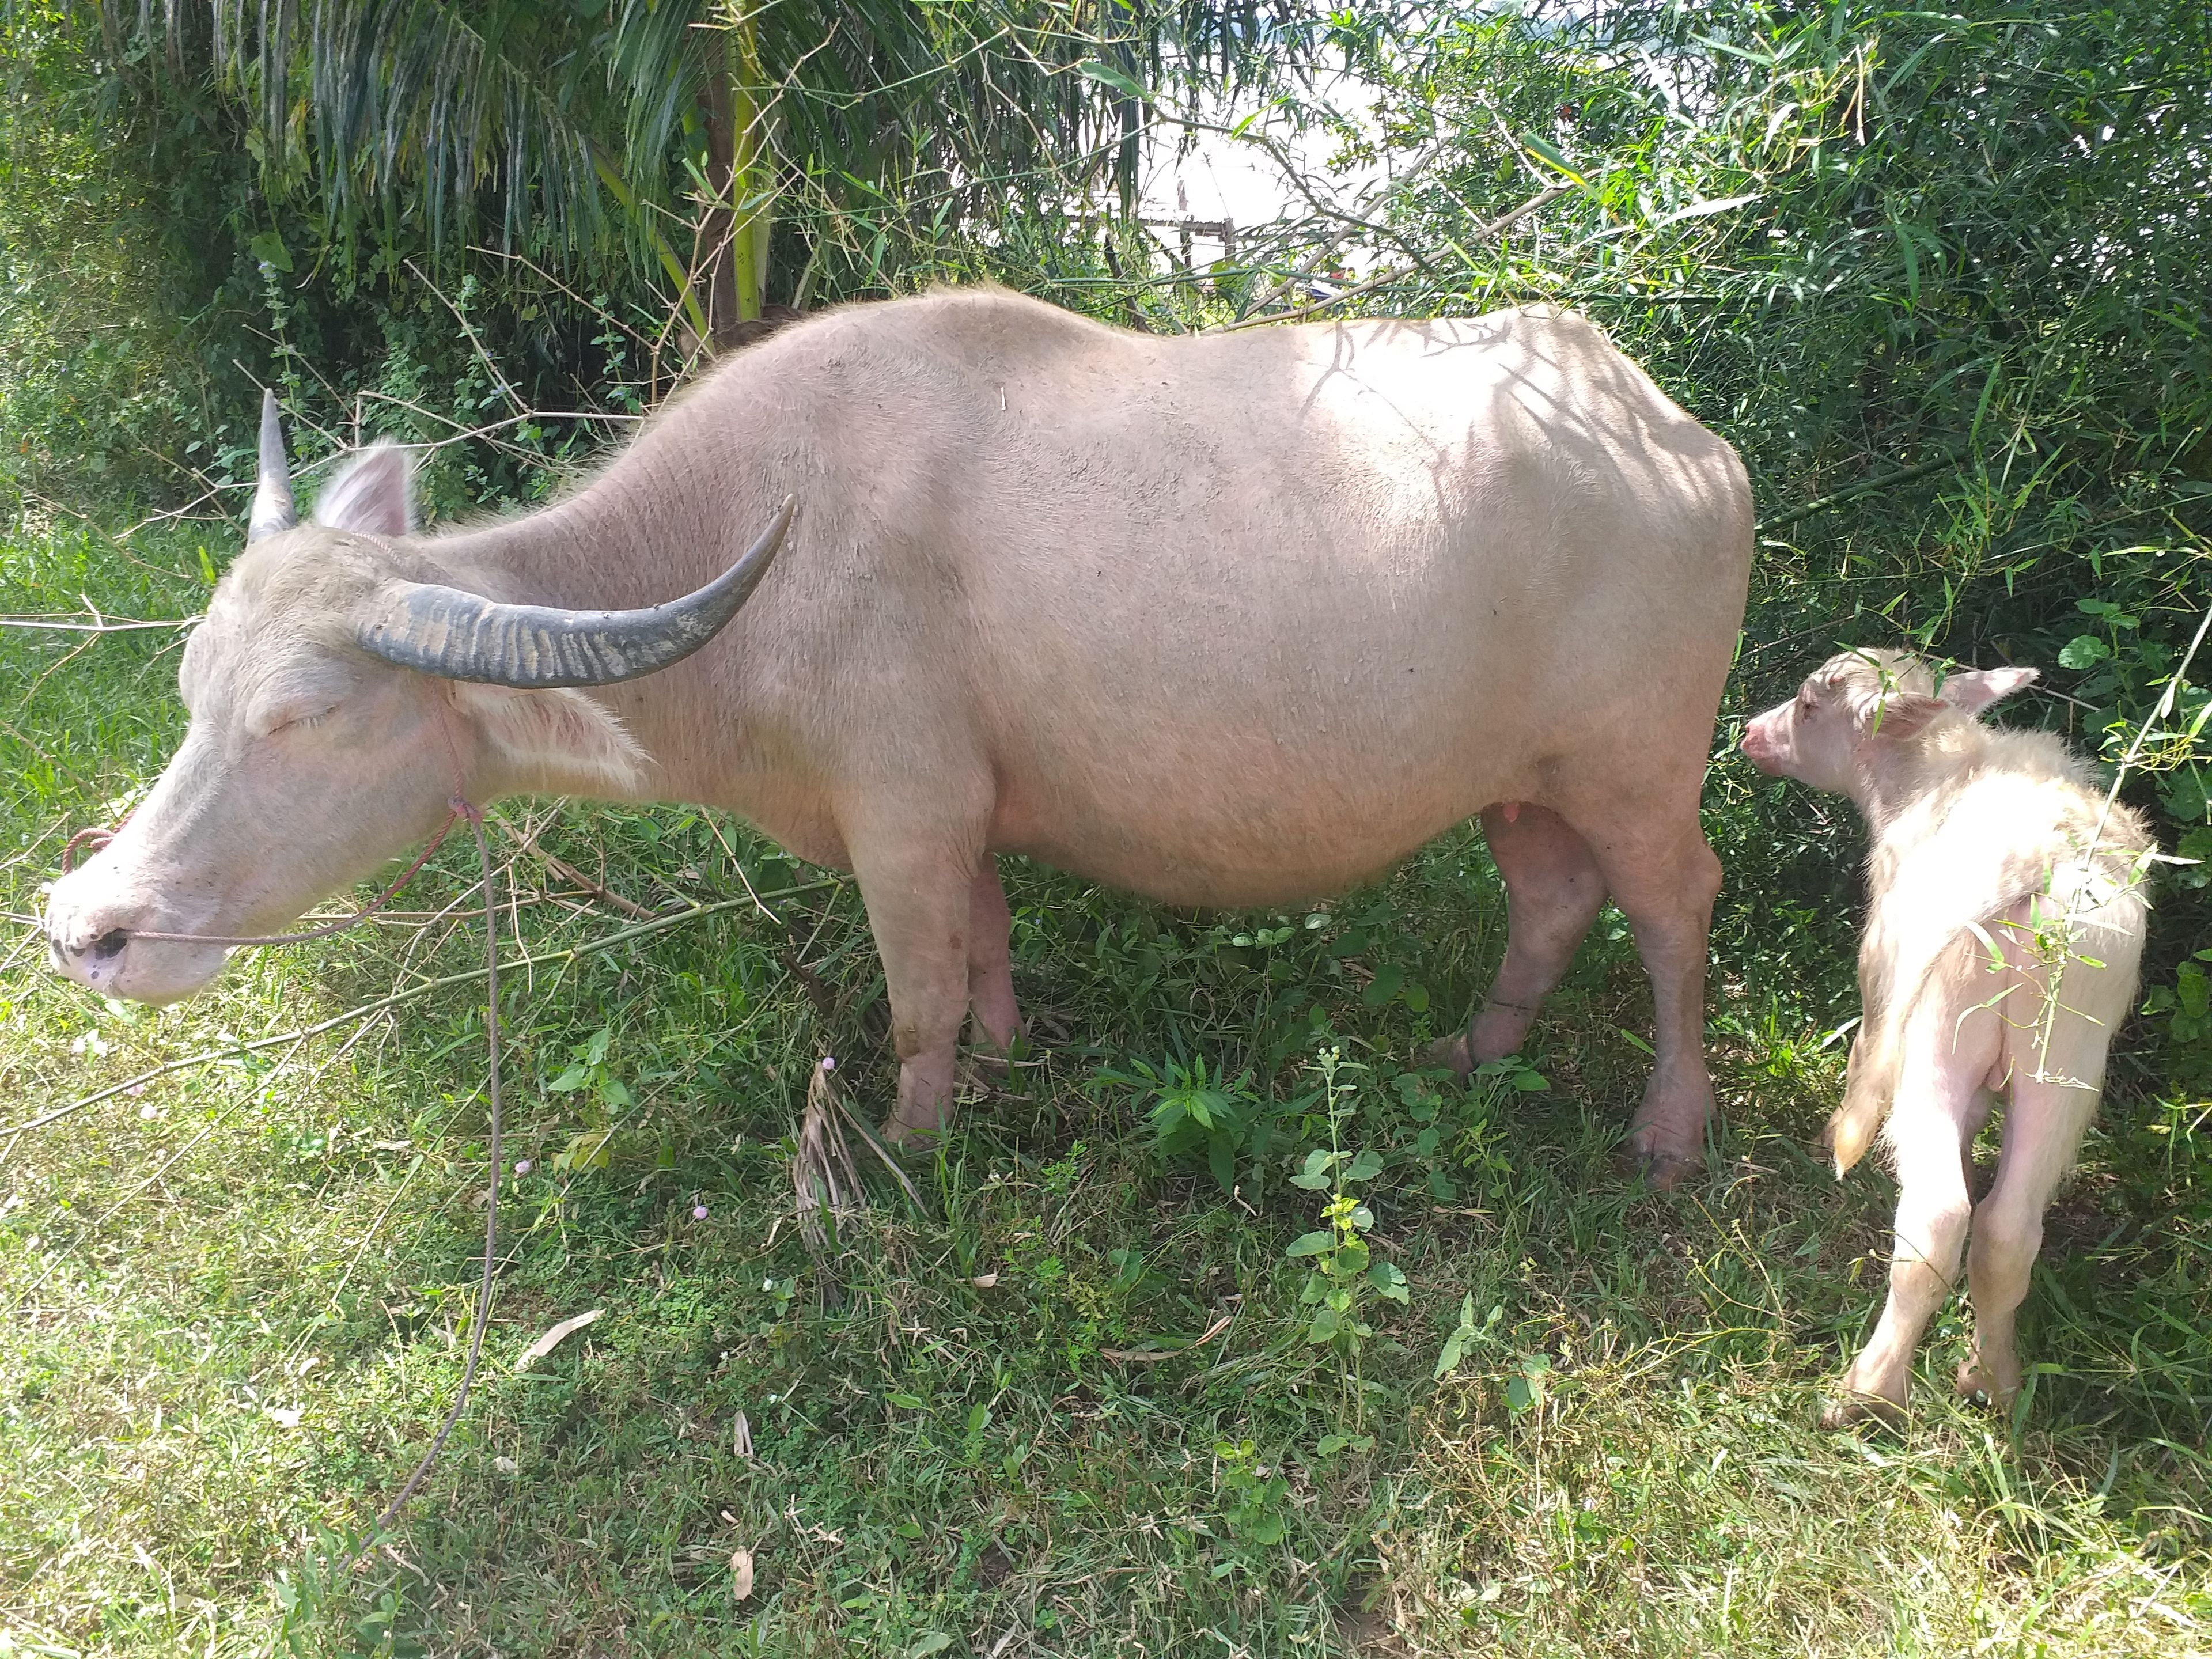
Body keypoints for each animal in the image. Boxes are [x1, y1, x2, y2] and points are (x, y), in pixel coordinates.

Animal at [44, 289, 1752, 1182]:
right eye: (192, 683)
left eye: (305, 717)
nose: (86, 926)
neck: (744, 559)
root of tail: (1673, 432)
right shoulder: (962, 817)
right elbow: (984, 954)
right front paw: (1001, 1071)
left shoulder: (902, 817)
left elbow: (916, 997)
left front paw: (914, 1146)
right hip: (1520, 783)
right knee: (1551, 898)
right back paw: (1476, 1052)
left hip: (1638, 769)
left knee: (1675, 910)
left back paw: (1669, 1130)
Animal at [1740, 648, 2153, 1421]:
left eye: (1809, 707)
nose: (1750, 733)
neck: (1926, 780)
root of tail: (2033, 868)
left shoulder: (1882, 976)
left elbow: (1860, 1065)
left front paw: (1830, 1139)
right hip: (2067, 1058)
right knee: (2007, 1229)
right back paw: (1993, 1377)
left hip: (1935, 1037)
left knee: (1937, 1218)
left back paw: (1867, 1393)